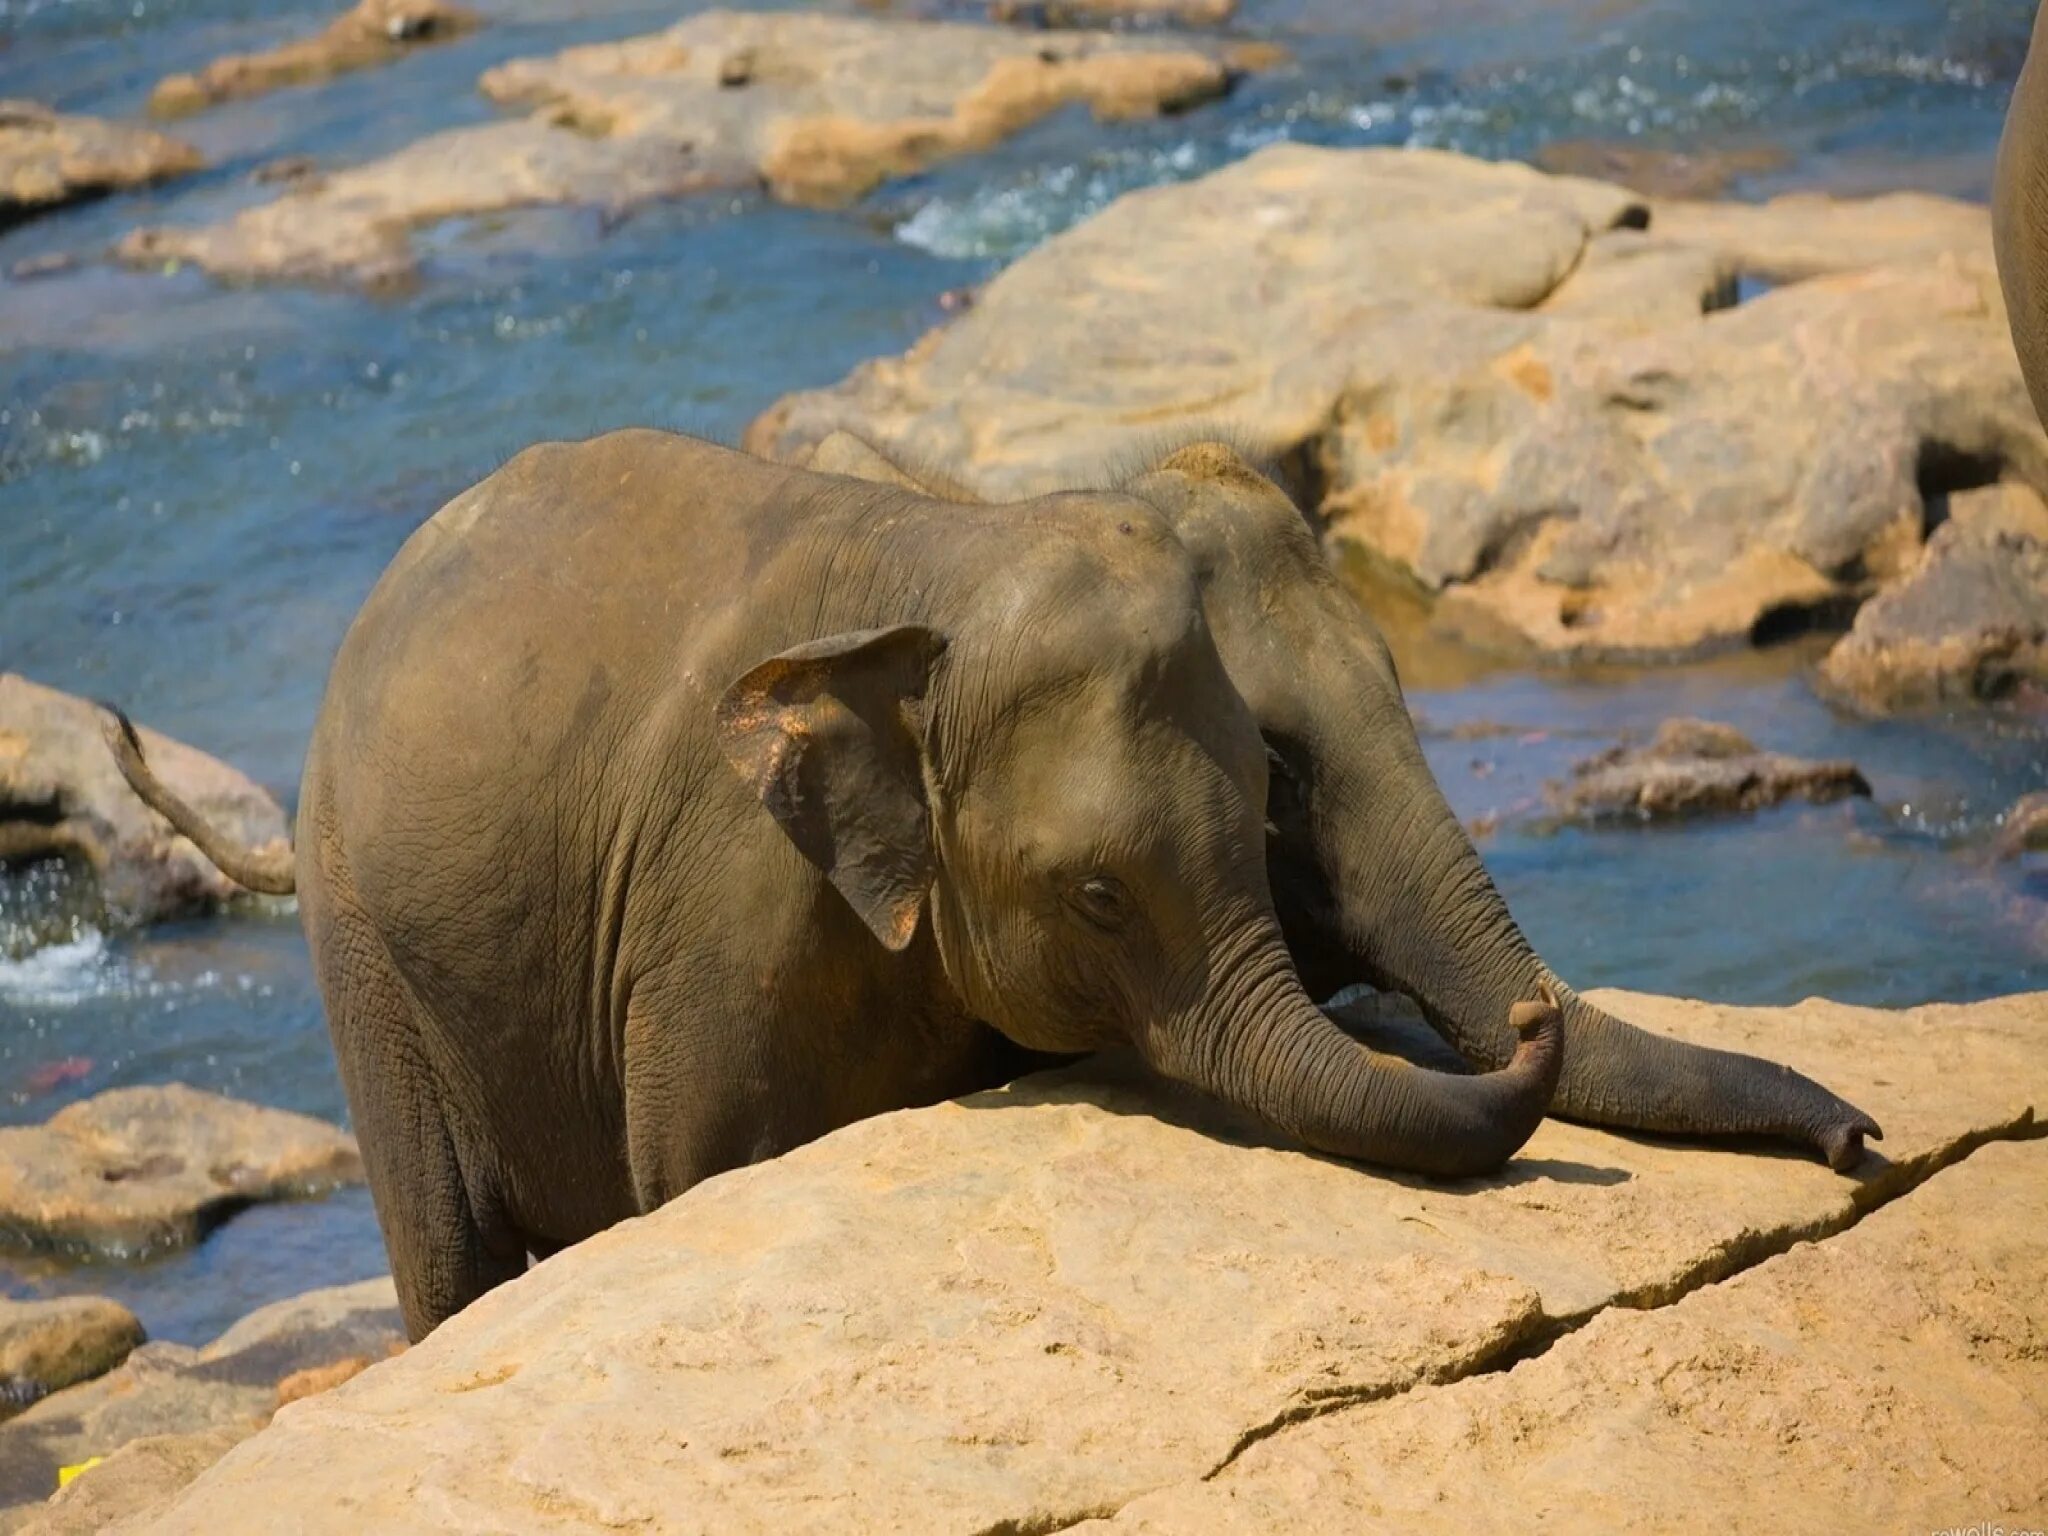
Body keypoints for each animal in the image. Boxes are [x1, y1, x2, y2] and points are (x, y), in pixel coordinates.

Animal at [99, 430, 1875, 1335]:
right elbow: (700, 1183)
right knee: (449, 1250)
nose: (1863, 1140)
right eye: (1096, 898)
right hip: (364, 948)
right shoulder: (716, 918)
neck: (964, 530)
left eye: (1267, 804)